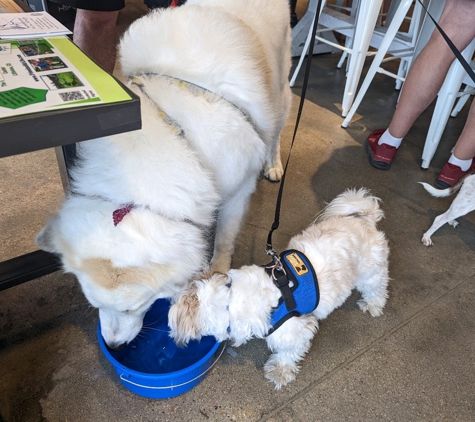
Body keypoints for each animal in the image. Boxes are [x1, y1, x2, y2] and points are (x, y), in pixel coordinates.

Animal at [34, 0, 294, 350]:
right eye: (94, 305)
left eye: (134, 307)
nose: (113, 346)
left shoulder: (238, 191)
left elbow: (224, 240)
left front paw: (218, 273)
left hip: (278, 96)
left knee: (277, 128)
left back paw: (274, 163)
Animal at [168, 189, 390, 390]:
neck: (231, 299)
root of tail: (364, 218)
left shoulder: (295, 330)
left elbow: (287, 353)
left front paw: (280, 371)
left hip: (370, 273)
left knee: (377, 287)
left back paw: (373, 304)